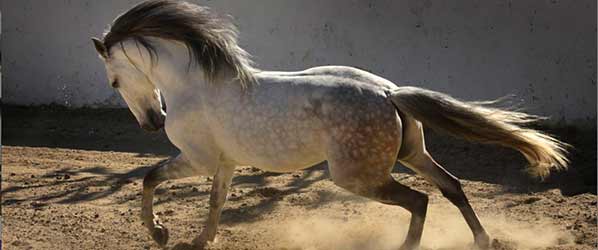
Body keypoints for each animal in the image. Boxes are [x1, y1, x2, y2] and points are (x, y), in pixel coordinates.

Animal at [91, 0, 568, 249]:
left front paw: (159, 232)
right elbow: (215, 203)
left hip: (358, 176)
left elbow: (150, 177)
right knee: (451, 185)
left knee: (419, 200)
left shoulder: (198, 159)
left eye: (113, 80)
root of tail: (388, 92)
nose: (153, 123)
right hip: (412, 154)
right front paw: (197, 241)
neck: (194, 85)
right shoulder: (224, 164)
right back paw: (483, 239)